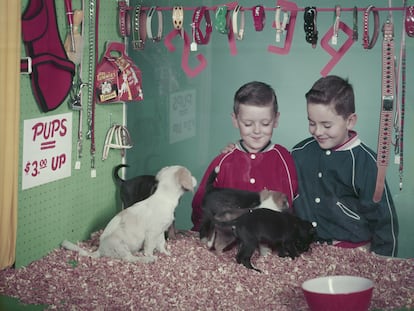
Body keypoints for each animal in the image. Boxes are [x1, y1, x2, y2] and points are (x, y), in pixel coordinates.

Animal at [61, 166, 197, 264]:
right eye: (190, 175)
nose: (195, 177)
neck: (164, 196)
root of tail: (100, 250)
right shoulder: (152, 233)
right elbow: (149, 248)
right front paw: (151, 256)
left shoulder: (161, 231)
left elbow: (162, 243)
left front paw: (166, 253)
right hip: (120, 245)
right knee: (129, 259)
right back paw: (146, 260)